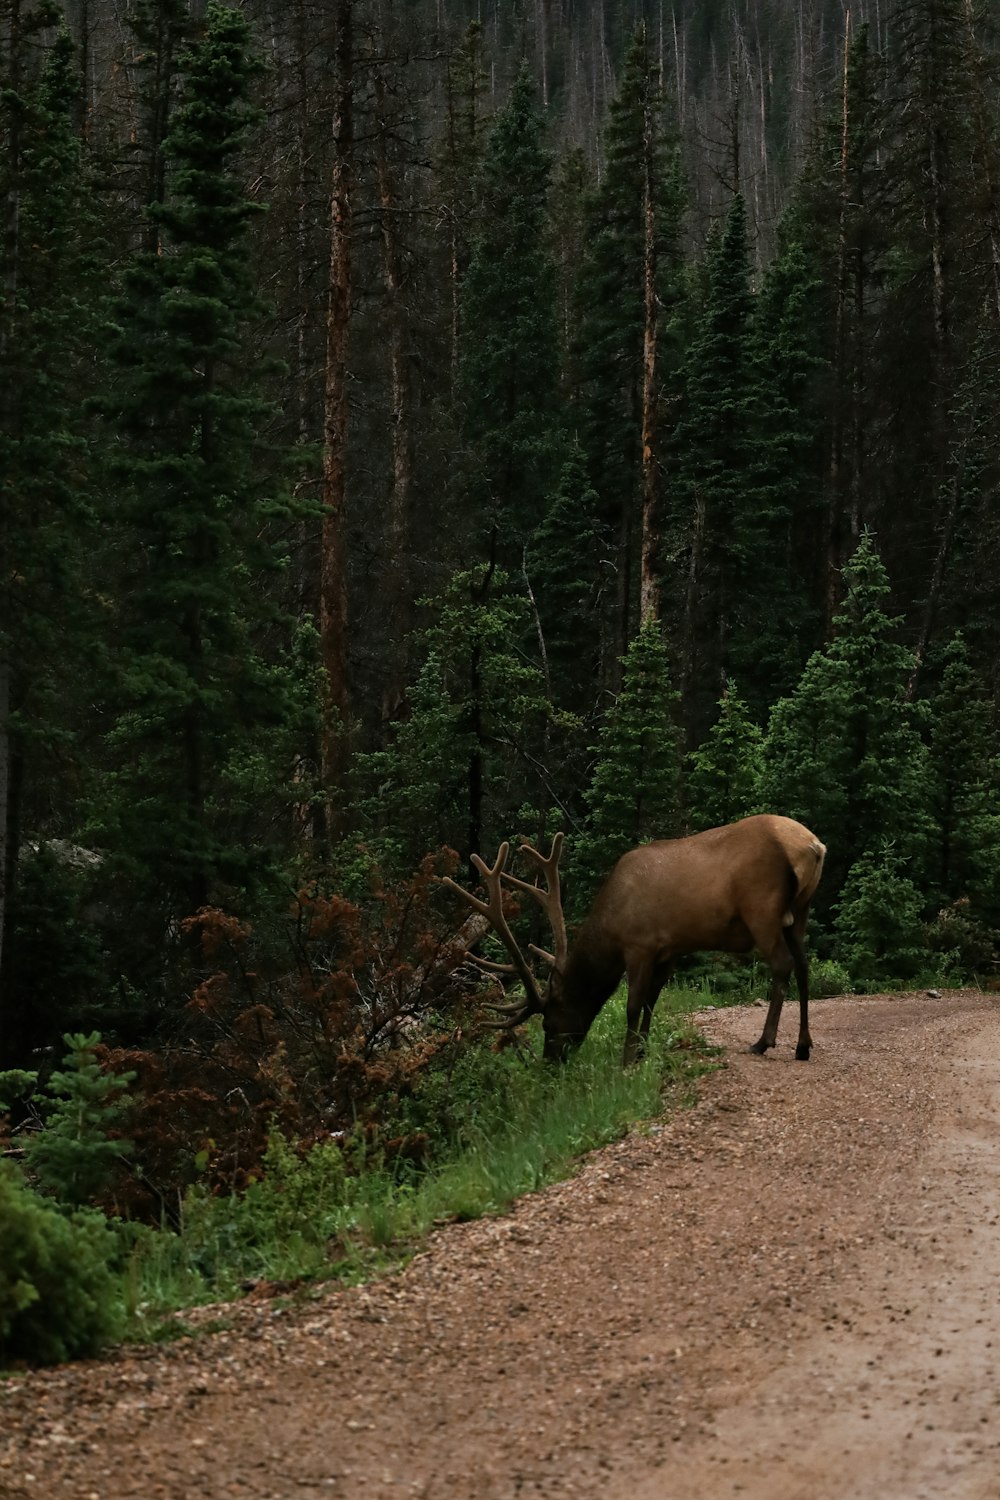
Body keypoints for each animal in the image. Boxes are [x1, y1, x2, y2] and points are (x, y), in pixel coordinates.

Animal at [446, 822, 827, 1068]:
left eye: (549, 1023)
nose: (550, 1065)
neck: (611, 925)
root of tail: (812, 847)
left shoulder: (639, 945)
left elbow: (632, 1004)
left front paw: (627, 1059)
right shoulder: (669, 950)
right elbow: (650, 1002)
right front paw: (642, 1051)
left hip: (762, 907)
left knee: (782, 965)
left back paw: (763, 1042)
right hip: (800, 911)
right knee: (804, 966)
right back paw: (803, 1045)